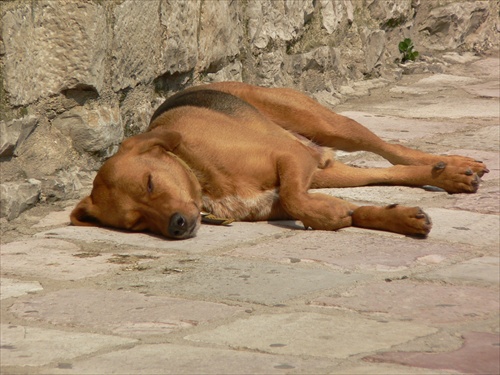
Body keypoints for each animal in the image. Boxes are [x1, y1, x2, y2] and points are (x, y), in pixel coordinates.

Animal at [70, 83, 488, 241]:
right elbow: (355, 211)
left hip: (328, 127)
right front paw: (398, 218)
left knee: (394, 149)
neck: (198, 175)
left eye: (151, 183)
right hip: (327, 170)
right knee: (386, 174)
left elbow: (294, 196)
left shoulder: (290, 158)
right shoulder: (292, 180)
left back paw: (454, 163)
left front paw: (324, 216)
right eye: (135, 223)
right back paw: (447, 175)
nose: (176, 226)